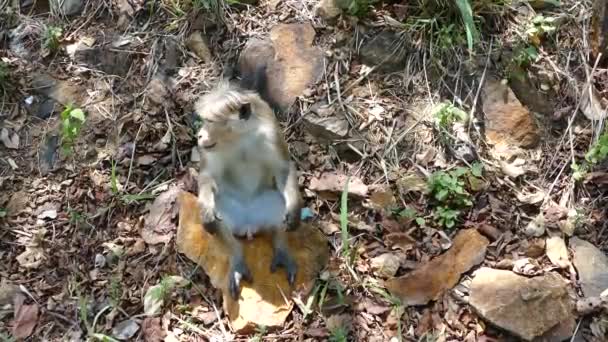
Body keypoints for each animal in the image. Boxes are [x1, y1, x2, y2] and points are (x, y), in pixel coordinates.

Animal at [195, 65, 302, 300]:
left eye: (210, 122)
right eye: (204, 121)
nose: (199, 135)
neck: (239, 137)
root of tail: (249, 224)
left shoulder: (270, 134)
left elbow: (283, 170)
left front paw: (294, 209)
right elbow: (208, 177)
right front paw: (206, 210)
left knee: (277, 202)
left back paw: (281, 248)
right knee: (222, 210)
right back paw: (237, 259)